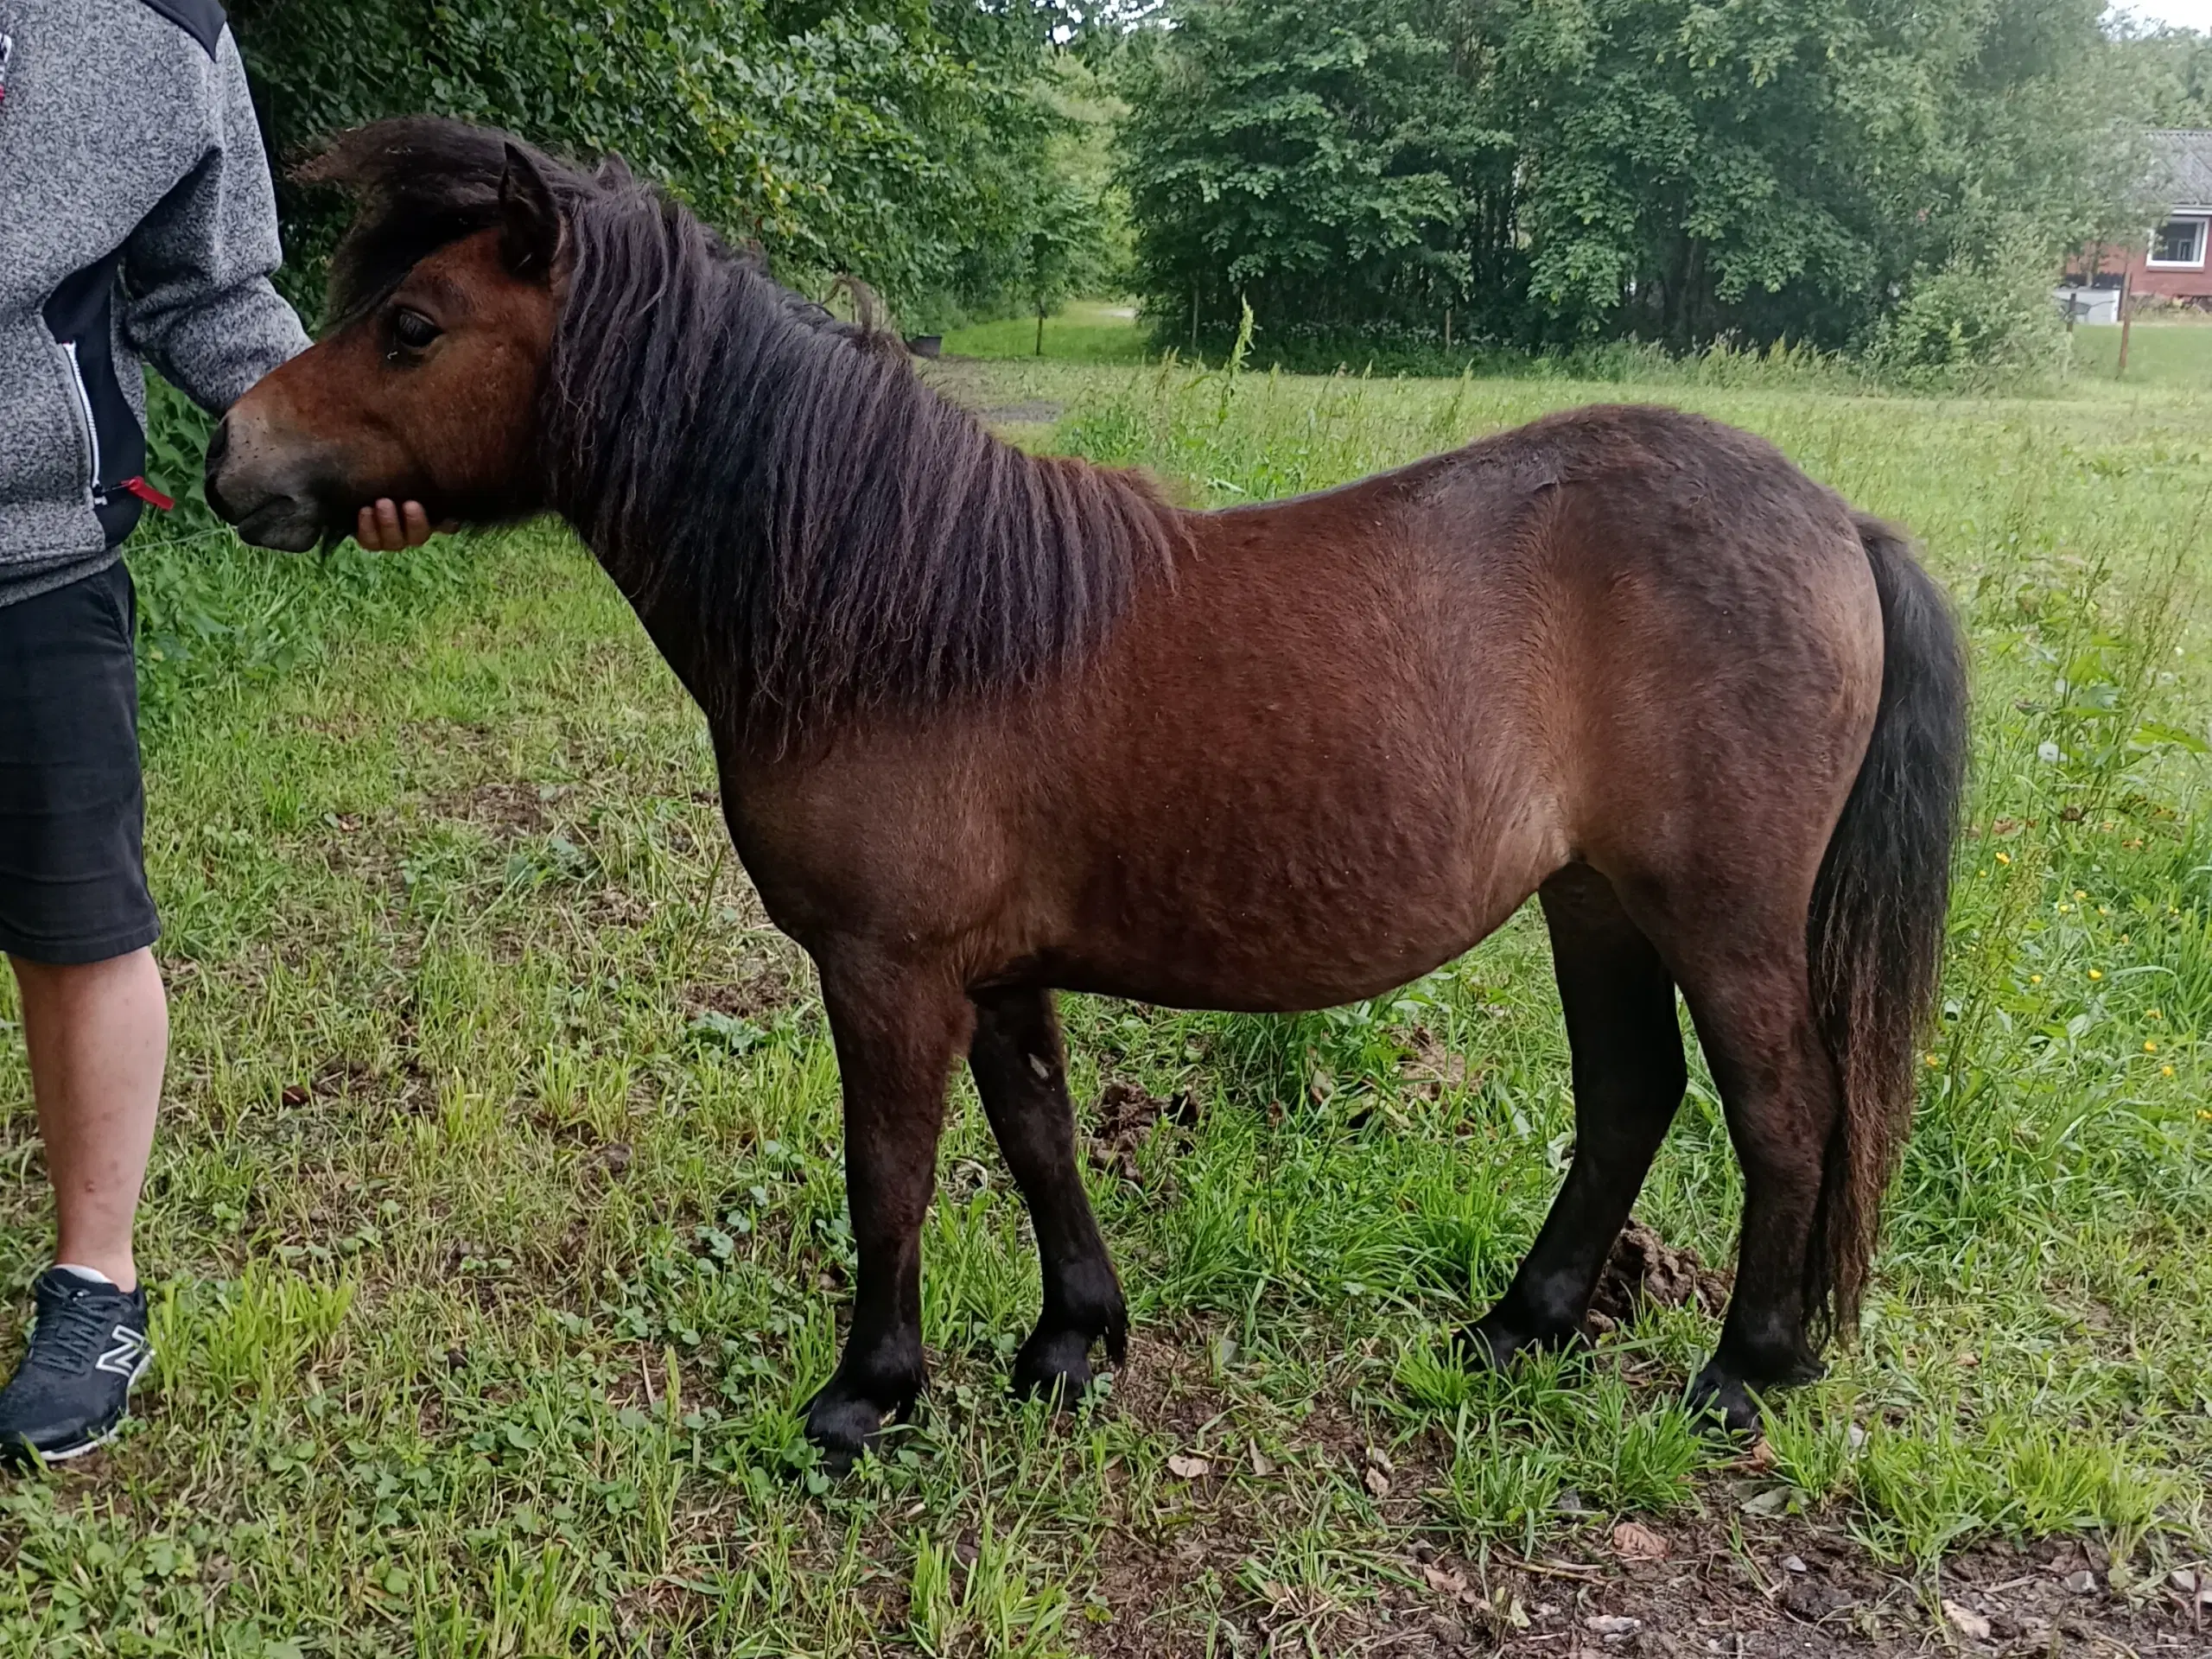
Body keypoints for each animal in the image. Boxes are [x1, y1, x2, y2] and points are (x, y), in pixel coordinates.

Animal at [207, 119, 1973, 1468]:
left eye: (413, 324)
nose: (231, 455)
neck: (895, 612)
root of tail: (1837, 522)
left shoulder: (887, 969)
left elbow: (891, 1172)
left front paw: (868, 1395)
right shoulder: (993, 971)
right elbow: (1041, 1135)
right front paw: (1072, 1343)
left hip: (1718, 915)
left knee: (1784, 1113)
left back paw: (1743, 1371)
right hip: (1593, 899)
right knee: (1629, 1100)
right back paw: (1520, 1328)